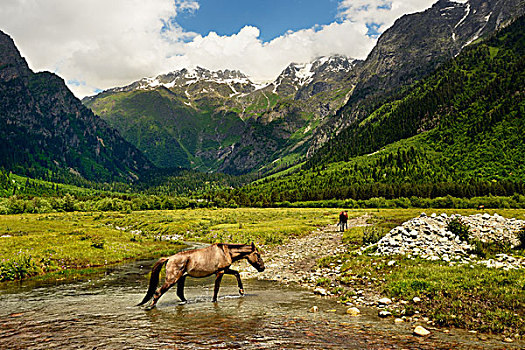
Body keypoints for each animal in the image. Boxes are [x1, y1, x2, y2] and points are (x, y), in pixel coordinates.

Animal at [136, 242, 264, 308]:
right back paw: (150, 307)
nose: (262, 268)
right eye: (257, 254)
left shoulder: (225, 269)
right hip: (172, 279)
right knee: (158, 292)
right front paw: (214, 301)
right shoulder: (220, 271)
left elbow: (237, 273)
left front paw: (241, 291)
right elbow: (216, 288)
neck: (226, 252)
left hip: (181, 278)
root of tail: (168, 258)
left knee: (180, 293)